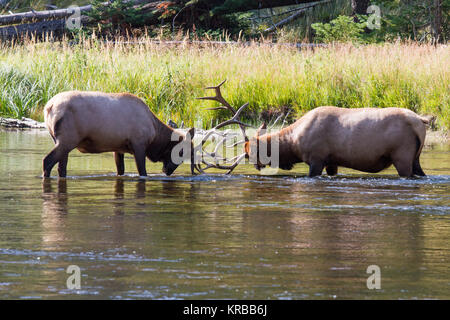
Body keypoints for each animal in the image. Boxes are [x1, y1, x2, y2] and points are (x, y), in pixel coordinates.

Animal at [42, 91, 195, 179]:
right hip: (67, 139)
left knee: (61, 167)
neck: (155, 134)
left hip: (61, 140)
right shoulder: (139, 144)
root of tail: (49, 107)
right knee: (47, 161)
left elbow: (120, 170)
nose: (167, 171)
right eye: (181, 152)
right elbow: (142, 172)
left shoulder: (118, 148)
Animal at [244, 107, 430, 178]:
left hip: (402, 157)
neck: (293, 143)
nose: (255, 166)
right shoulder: (331, 162)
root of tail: (421, 121)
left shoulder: (316, 159)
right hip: (416, 158)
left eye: (251, 152)